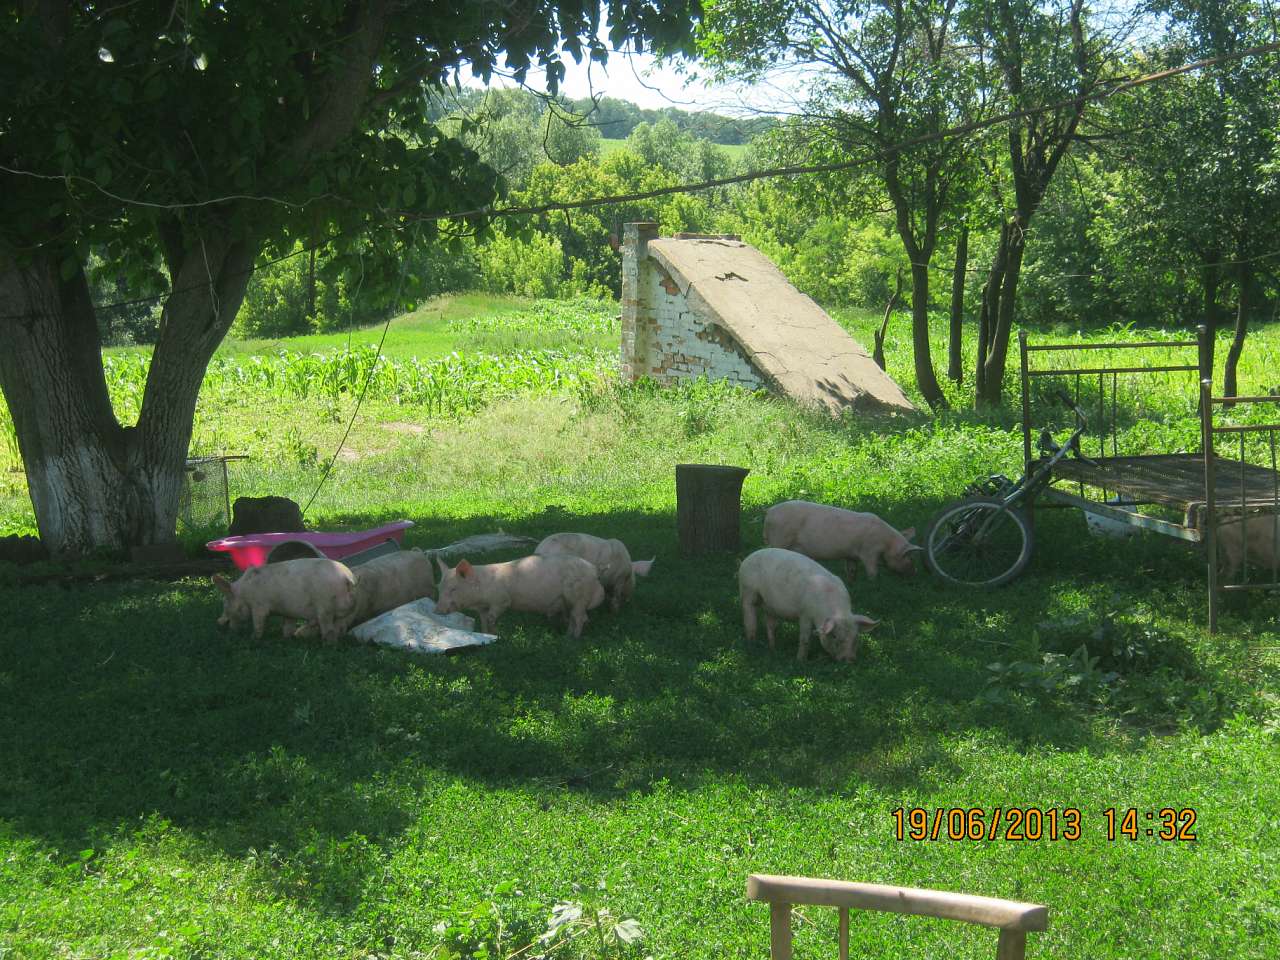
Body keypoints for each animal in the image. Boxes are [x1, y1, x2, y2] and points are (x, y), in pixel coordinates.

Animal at [212, 558, 356, 643]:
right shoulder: (288, 612)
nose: (218, 622)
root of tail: (348, 578)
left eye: (225, 603)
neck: (244, 592)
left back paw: (327, 644)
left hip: (325, 608)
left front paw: (253, 639)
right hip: (342, 611)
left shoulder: (259, 606)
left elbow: (258, 623)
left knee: (328, 628)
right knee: (340, 627)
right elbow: (287, 626)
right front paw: (287, 638)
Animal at [434, 554, 606, 638]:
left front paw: (497, 634)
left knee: (581, 618)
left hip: (579, 596)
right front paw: (486, 634)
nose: (437, 611)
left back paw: (573, 640)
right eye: (439, 588)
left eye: (453, 589)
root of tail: (594, 570)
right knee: (574, 618)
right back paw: (567, 636)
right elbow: (483, 621)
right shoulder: (482, 608)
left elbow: (492, 617)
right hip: (571, 601)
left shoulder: (502, 600)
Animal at [738, 547, 878, 662]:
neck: (838, 612)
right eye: (834, 636)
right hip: (748, 590)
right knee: (749, 618)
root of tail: (746, 559)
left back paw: (773, 649)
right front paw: (800, 661)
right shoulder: (805, 613)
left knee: (771, 625)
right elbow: (805, 638)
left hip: (770, 605)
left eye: (855, 637)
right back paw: (751, 644)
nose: (849, 659)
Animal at [764, 500, 922, 579]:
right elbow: (872, 571)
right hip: (780, 538)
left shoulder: (851, 556)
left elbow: (851, 570)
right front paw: (874, 582)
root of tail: (769, 512)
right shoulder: (869, 552)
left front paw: (851, 583)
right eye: (909, 557)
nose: (915, 572)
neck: (886, 544)